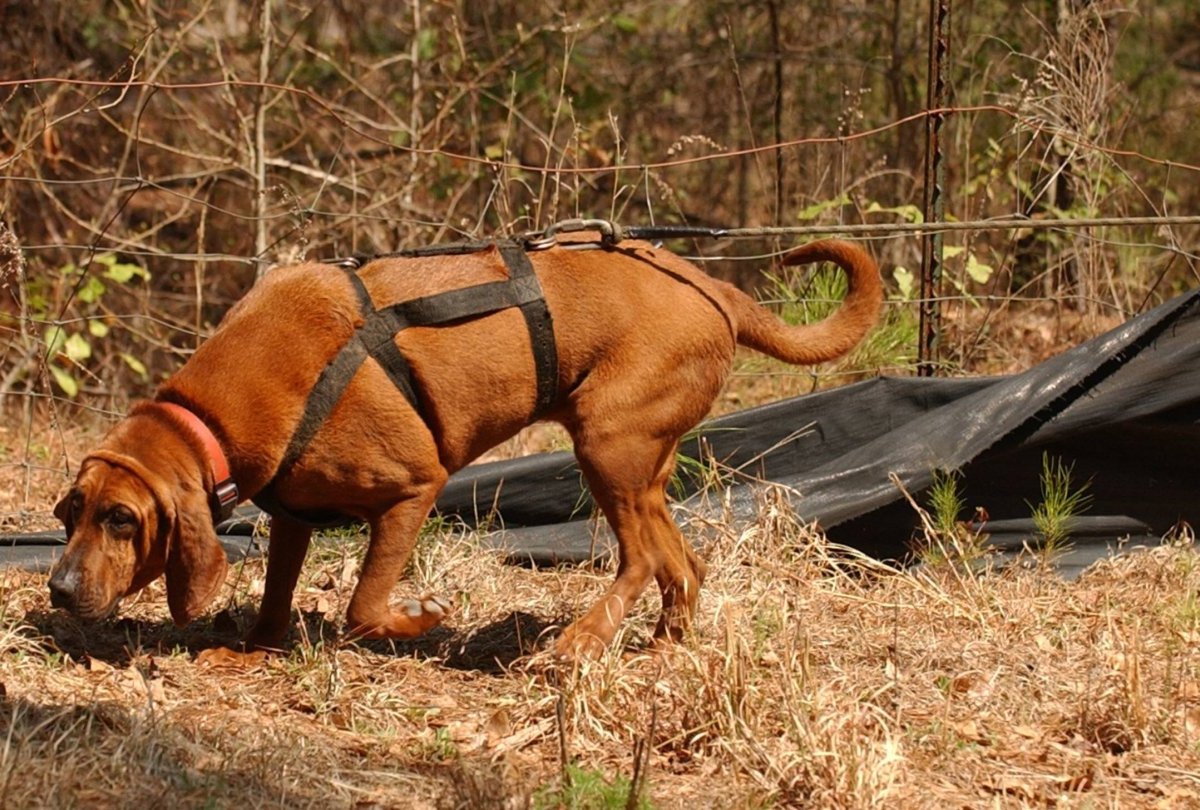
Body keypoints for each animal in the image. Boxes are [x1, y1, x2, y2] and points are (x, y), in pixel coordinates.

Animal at [46, 234, 883, 657]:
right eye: (68, 513)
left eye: (122, 519)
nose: (55, 589)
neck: (210, 417)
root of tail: (716, 289)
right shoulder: (292, 517)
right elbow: (279, 592)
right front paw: (252, 643)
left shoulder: (412, 491)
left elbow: (364, 607)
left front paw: (420, 621)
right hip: (641, 466)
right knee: (682, 564)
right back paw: (661, 645)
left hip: (606, 446)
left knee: (642, 560)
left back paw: (578, 643)